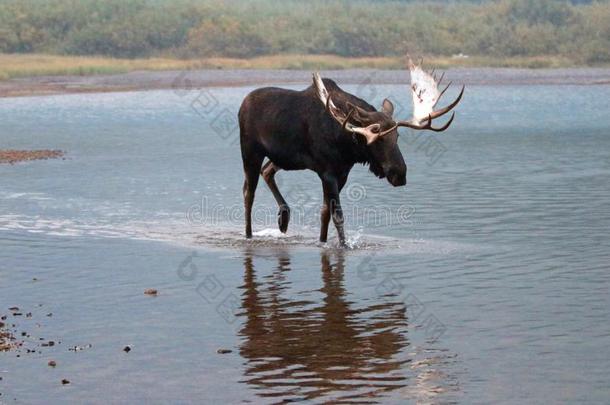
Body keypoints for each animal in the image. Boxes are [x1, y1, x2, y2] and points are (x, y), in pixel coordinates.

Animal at [238, 58, 460, 245]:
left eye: (397, 136)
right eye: (377, 139)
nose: (400, 174)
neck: (346, 142)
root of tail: (242, 105)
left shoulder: (342, 173)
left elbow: (325, 212)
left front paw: (323, 242)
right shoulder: (327, 172)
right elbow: (338, 215)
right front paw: (344, 245)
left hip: (282, 159)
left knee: (267, 171)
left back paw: (283, 217)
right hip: (250, 152)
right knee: (249, 192)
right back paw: (249, 234)